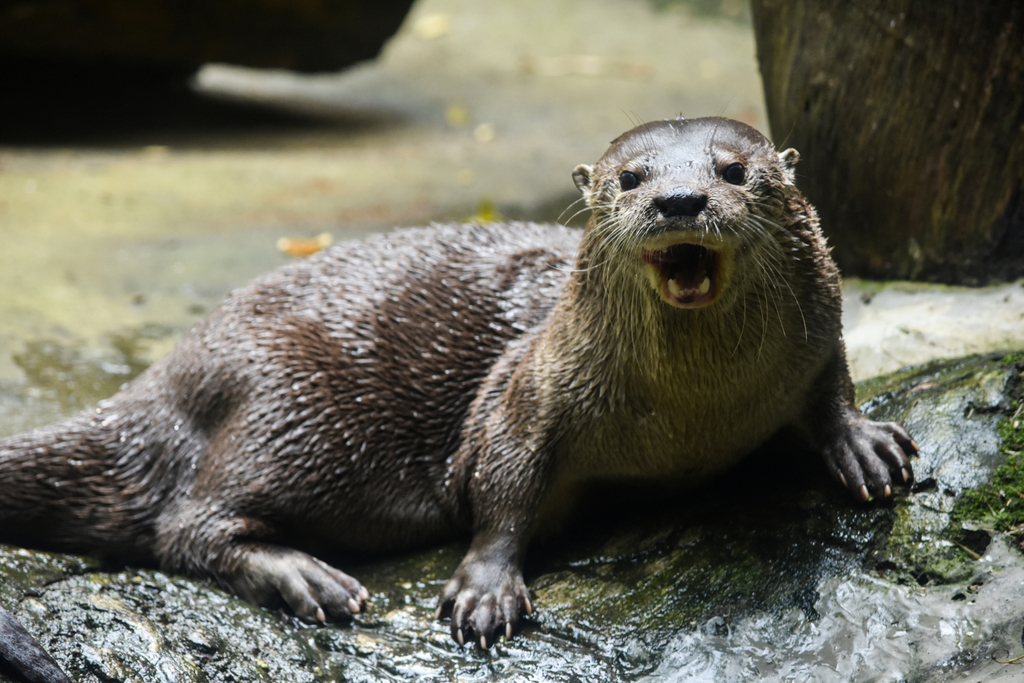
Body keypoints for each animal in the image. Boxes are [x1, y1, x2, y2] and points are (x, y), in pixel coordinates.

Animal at [0, 116, 917, 667]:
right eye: (629, 178)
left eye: (734, 170)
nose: (679, 198)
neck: (693, 411)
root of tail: (172, 371)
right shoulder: (528, 388)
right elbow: (502, 484)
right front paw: (485, 587)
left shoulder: (818, 333)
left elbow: (832, 381)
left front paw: (864, 442)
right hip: (292, 409)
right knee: (185, 526)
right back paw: (309, 578)